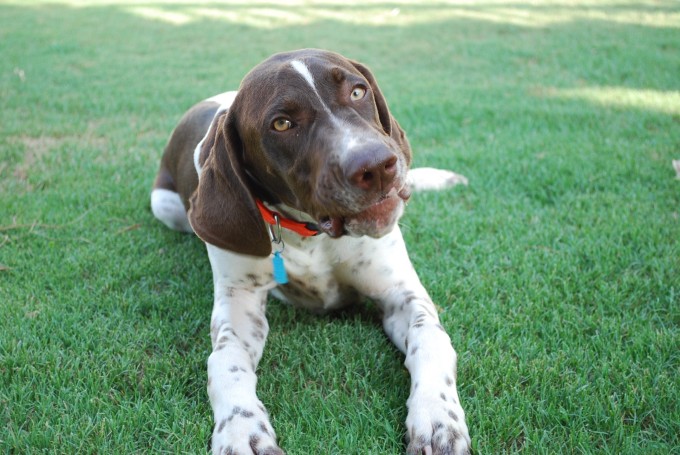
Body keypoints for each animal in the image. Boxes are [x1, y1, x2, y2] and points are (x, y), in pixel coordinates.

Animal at [149, 48, 470, 454]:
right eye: (282, 124)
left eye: (358, 92)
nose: (377, 166)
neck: (312, 235)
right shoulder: (239, 304)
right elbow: (224, 361)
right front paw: (240, 429)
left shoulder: (400, 293)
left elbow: (432, 340)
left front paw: (437, 417)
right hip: (165, 205)